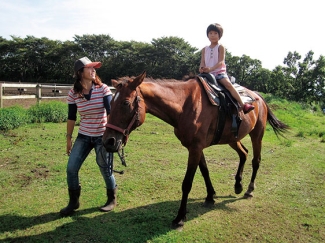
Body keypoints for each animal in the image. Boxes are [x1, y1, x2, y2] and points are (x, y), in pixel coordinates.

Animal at [102, 70, 288, 228]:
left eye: (125, 103)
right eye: (111, 101)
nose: (108, 141)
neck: (184, 105)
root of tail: (259, 98)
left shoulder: (195, 148)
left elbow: (187, 183)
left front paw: (180, 217)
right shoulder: (196, 147)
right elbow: (205, 171)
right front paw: (210, 196)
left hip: (257, 135)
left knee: (256, 160)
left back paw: (249, 189)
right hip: (232, 139)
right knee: (244, 153)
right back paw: (238, 185)